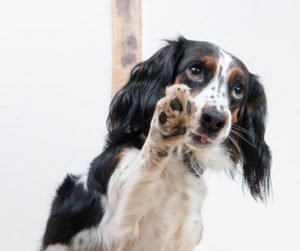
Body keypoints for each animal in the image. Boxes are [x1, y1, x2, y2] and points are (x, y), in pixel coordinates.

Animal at [41, 36, 272, 250]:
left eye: (238, 90)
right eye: (195, 70)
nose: (215, 119)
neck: (177, 163)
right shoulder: (113, 231)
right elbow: (145, 163)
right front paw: (168, 121)